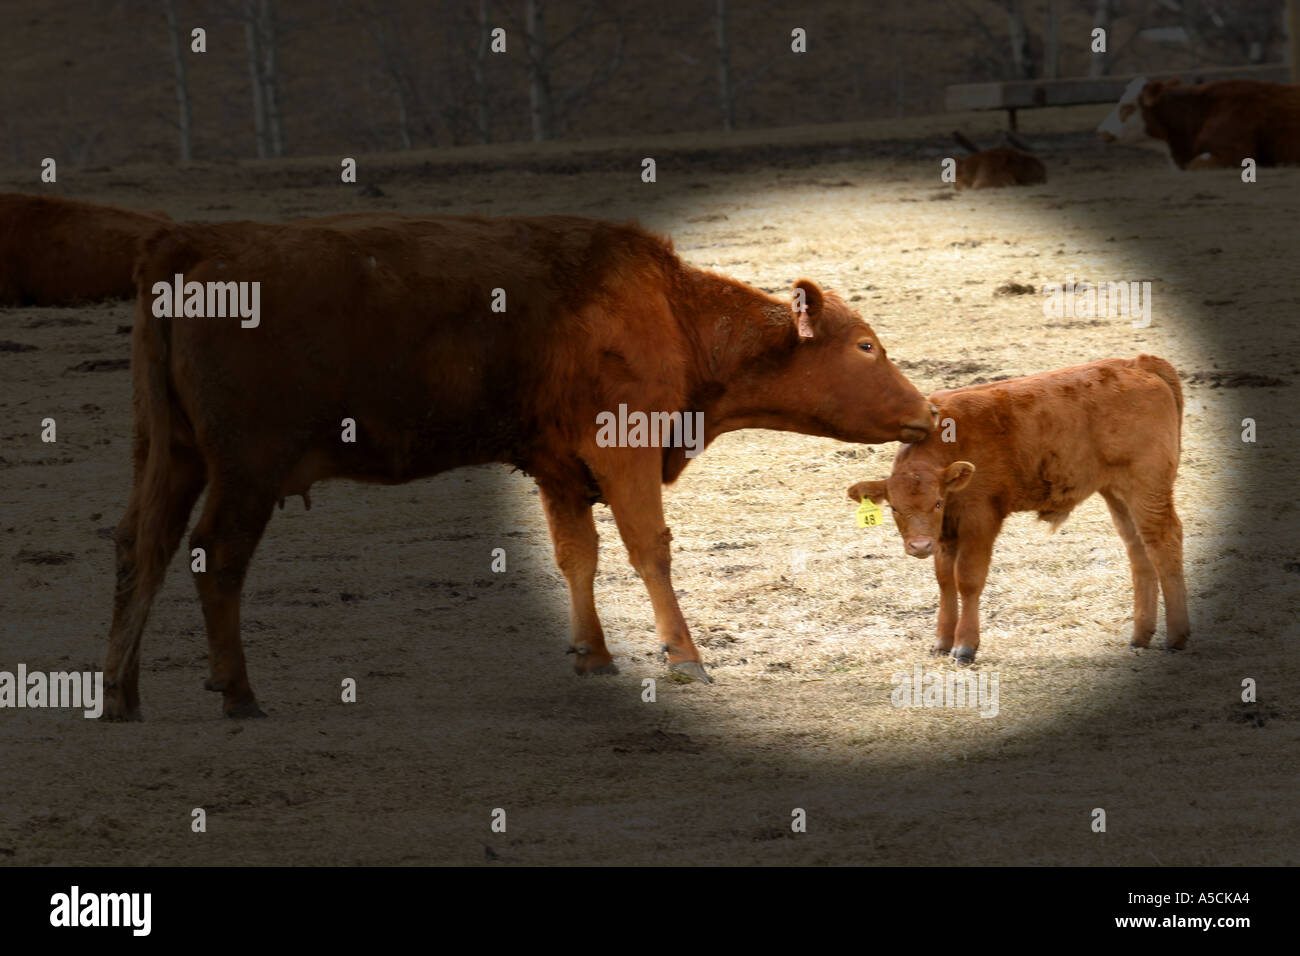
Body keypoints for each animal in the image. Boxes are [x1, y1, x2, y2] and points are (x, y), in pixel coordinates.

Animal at [105, 214, 937, 719]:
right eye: (866, 346)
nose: (930, 414)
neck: (665, 308)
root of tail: (192, 245)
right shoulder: (623, 450)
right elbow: (648, 549)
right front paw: (684, 657)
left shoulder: (560, 469)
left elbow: (578, 556)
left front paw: (592, 654)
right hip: (245, 470)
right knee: (215, 559)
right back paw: (237, 691)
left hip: (169, 457)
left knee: (139, 549)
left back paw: (121, 695)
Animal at [847, 355, 1187, 663]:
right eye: (894, 508)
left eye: (937, 502)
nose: (919, 546)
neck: (951, 440)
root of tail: (1136, 363)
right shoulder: (945, 532)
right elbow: (945, 581)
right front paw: (942, 641)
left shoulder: (979, 519)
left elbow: (967, 579)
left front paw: (965, 646)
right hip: (1118, 493)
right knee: (1139, 550)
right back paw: (1140, 636)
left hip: (1147, 486)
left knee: (1164, 542)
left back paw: (1177, 637)